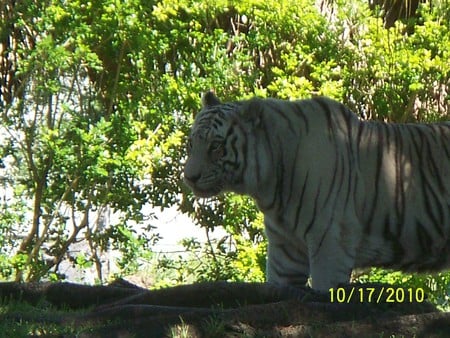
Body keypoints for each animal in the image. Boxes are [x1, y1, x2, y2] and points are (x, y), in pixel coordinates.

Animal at [183, 91, 450, 292]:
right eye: (191, 143)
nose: (189, 178)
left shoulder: (331, 242)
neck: (269, 187)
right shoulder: (285, 252)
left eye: (216, 147)